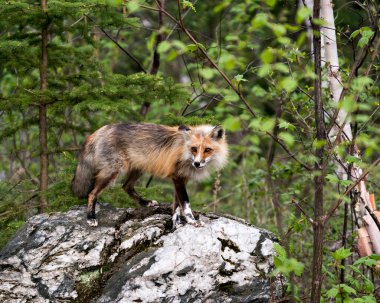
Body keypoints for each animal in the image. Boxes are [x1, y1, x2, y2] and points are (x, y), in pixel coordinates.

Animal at [72, 123, 229, 228]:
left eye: (207, 150)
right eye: (194, 149)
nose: (197, 163)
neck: (185, 153)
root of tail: (100, 130)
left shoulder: (180, 180)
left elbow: (176, 207)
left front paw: (176, 224)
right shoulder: (178, 178)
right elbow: (185, 204)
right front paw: (192, 221)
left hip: (138, 168)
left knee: (126, 187)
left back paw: (145, 203)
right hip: (112, 172)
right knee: (92, 194)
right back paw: (90, 217)